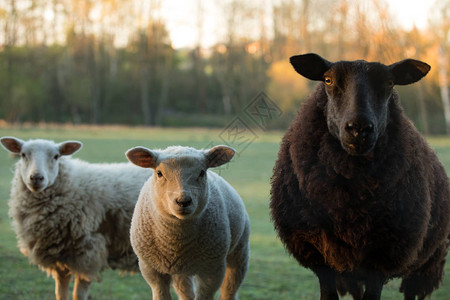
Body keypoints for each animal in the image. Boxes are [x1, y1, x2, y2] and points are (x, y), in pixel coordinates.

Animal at [0, 137, 153, 300]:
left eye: (56, 156)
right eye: (23, 155)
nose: (36, 178)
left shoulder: (88, 253)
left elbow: (78, 294)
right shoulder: (60, 257)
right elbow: (60, 293)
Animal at [125, 144, 250, 298]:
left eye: (202, 173)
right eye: (159, 173)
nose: (183, 201)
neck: (176, 242)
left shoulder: (213, 269)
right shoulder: (152, 270)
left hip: (239, 252)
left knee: (229, 290)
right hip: (181, 271)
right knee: (185, 292)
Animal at [268, 54, 450, 300]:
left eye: (390, 83)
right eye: (328, 80)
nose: (359, 128)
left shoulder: (382, 258)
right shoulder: (319, 257)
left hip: (426, 263)